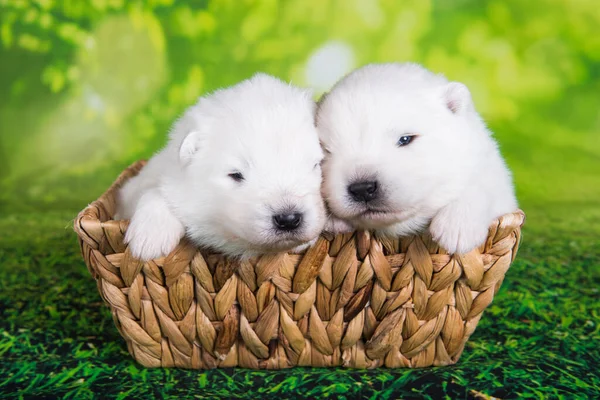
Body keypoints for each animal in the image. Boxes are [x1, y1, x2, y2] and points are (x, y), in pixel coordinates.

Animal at [115, 72, 326, 260]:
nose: (288, 219)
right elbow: (154, 191)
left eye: (315, 165)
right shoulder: (141, 183)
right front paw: (151, 237)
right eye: (236, 175)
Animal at [316, 64, 516, 255]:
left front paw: (457, 226)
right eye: (327, 151)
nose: (362, 188)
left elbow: (485, 185)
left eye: (405, 139)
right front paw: (332, 221)